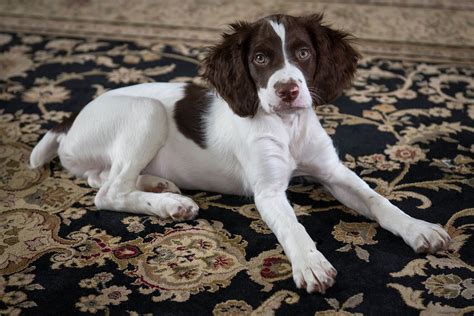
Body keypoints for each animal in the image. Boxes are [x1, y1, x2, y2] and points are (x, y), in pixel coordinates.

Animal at [31, 14, 450, 294]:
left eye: (303, 52)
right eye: (261, 59)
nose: (287, 91)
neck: (287, 126)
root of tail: (71, 119)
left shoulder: (333, 172)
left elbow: (379, 201)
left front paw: (419, 229)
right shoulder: (267, 191)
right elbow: (293, 225)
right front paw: (311, 264)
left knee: (100, 178)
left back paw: (160, 185)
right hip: (146, 113)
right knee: (108, 192)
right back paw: (170, 204)